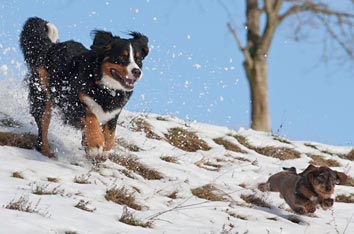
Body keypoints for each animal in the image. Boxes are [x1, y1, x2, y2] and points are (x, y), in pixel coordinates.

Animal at [19, 17, 149, 160]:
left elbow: (110, 135)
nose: (137, 72)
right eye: (122, 57)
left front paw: (100, 149)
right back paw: (47, 153)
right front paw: (96, 143)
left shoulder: (113, 113)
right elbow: (91, 119)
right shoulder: (72, 103)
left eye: (138, 59)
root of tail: (51, 47)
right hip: (43, 95)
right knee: (43, 128)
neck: (104, 87)